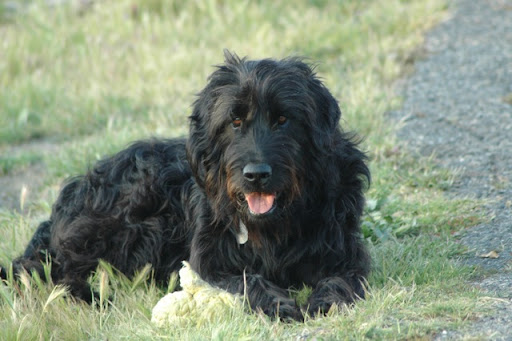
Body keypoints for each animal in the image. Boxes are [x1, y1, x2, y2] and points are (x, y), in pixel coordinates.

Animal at [0, 50, 370, 318]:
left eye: (283, 119)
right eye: (235, 121)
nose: (256, 175)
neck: (273, 226)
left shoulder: (346, 252)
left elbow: (343, 277)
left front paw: (325, 301)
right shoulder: (210, 263)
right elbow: (246, 280)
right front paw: (279, 303)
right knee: (43, 269)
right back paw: (90, 295)